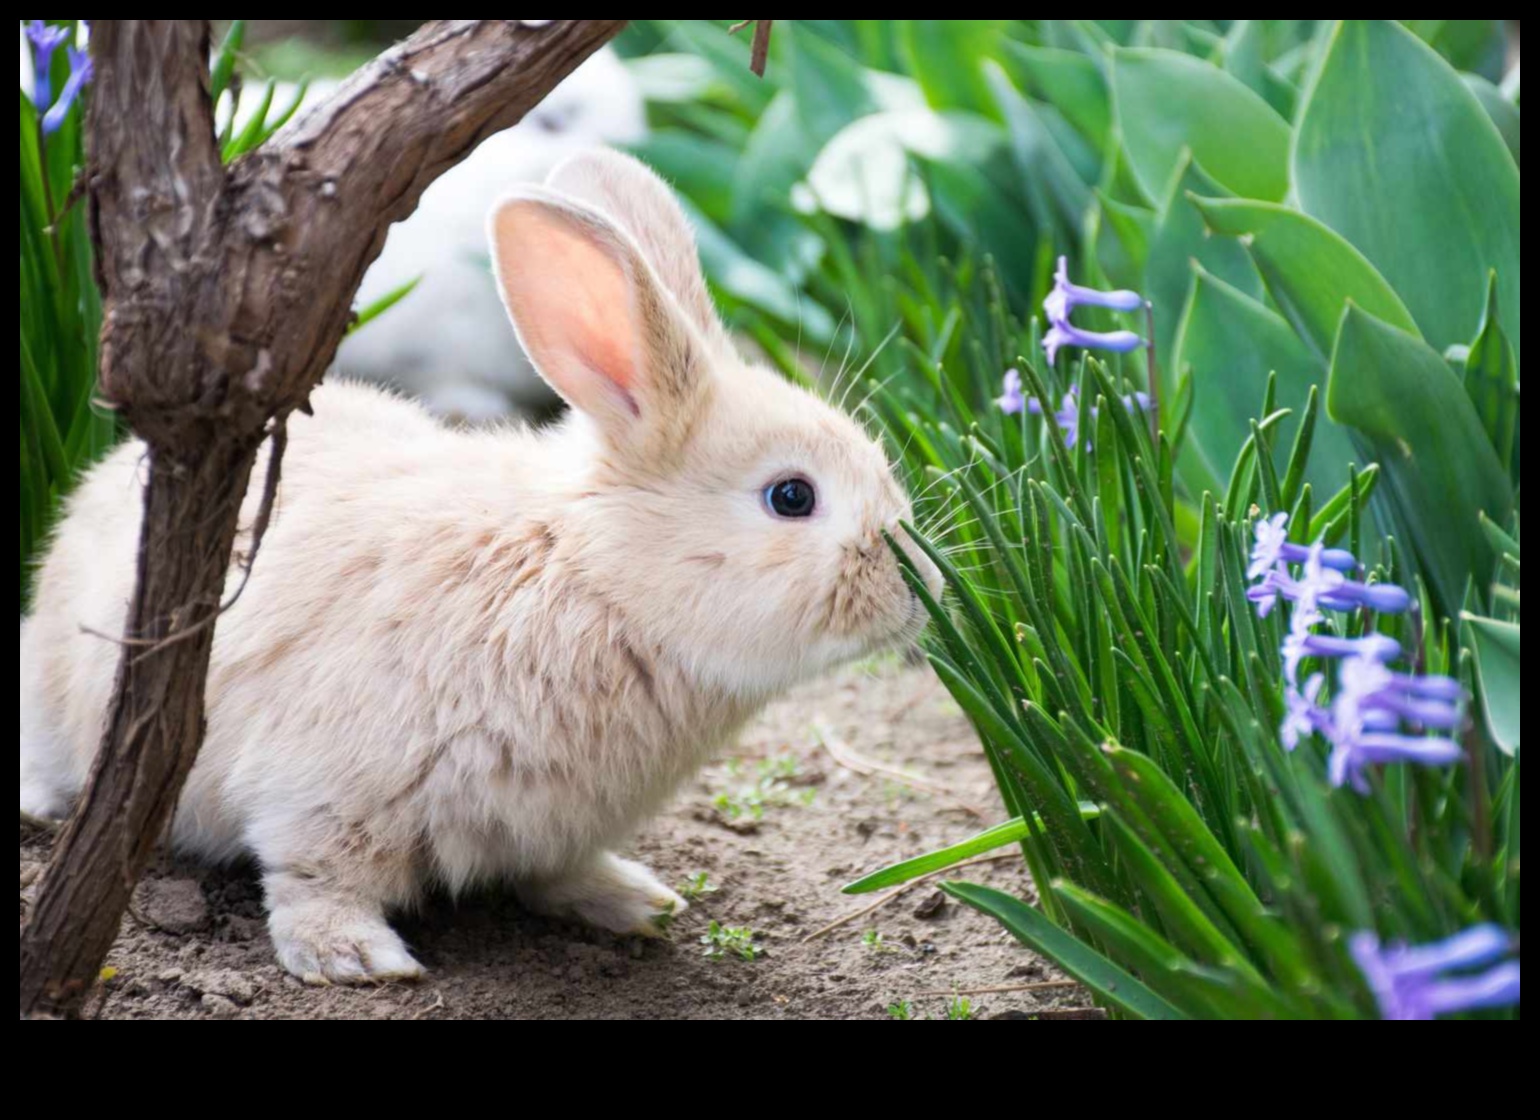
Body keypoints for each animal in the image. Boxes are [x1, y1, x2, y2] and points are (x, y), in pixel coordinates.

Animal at [18, 153, 942, 985]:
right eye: (792, 496)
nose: (921, 590)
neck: (594, 579)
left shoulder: (557, 824)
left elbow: (558, 872)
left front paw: (633, 902)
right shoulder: (323, 792)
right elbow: (316, 875)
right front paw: (354, 958)